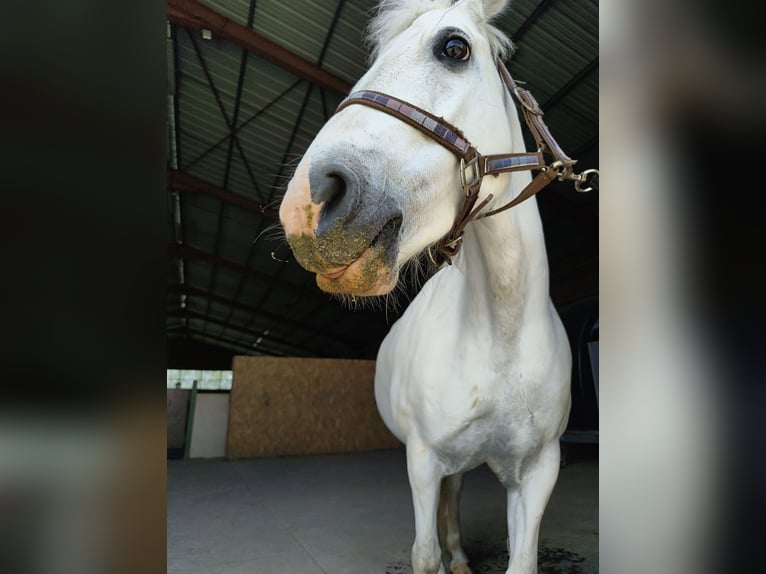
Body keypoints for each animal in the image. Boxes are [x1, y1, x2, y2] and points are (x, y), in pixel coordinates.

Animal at [279, 1, 575, 572]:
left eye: (454, 48)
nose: (307, 205)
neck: (501, 333)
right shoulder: (422, 459)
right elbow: (423, 553)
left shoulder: (538, 472)